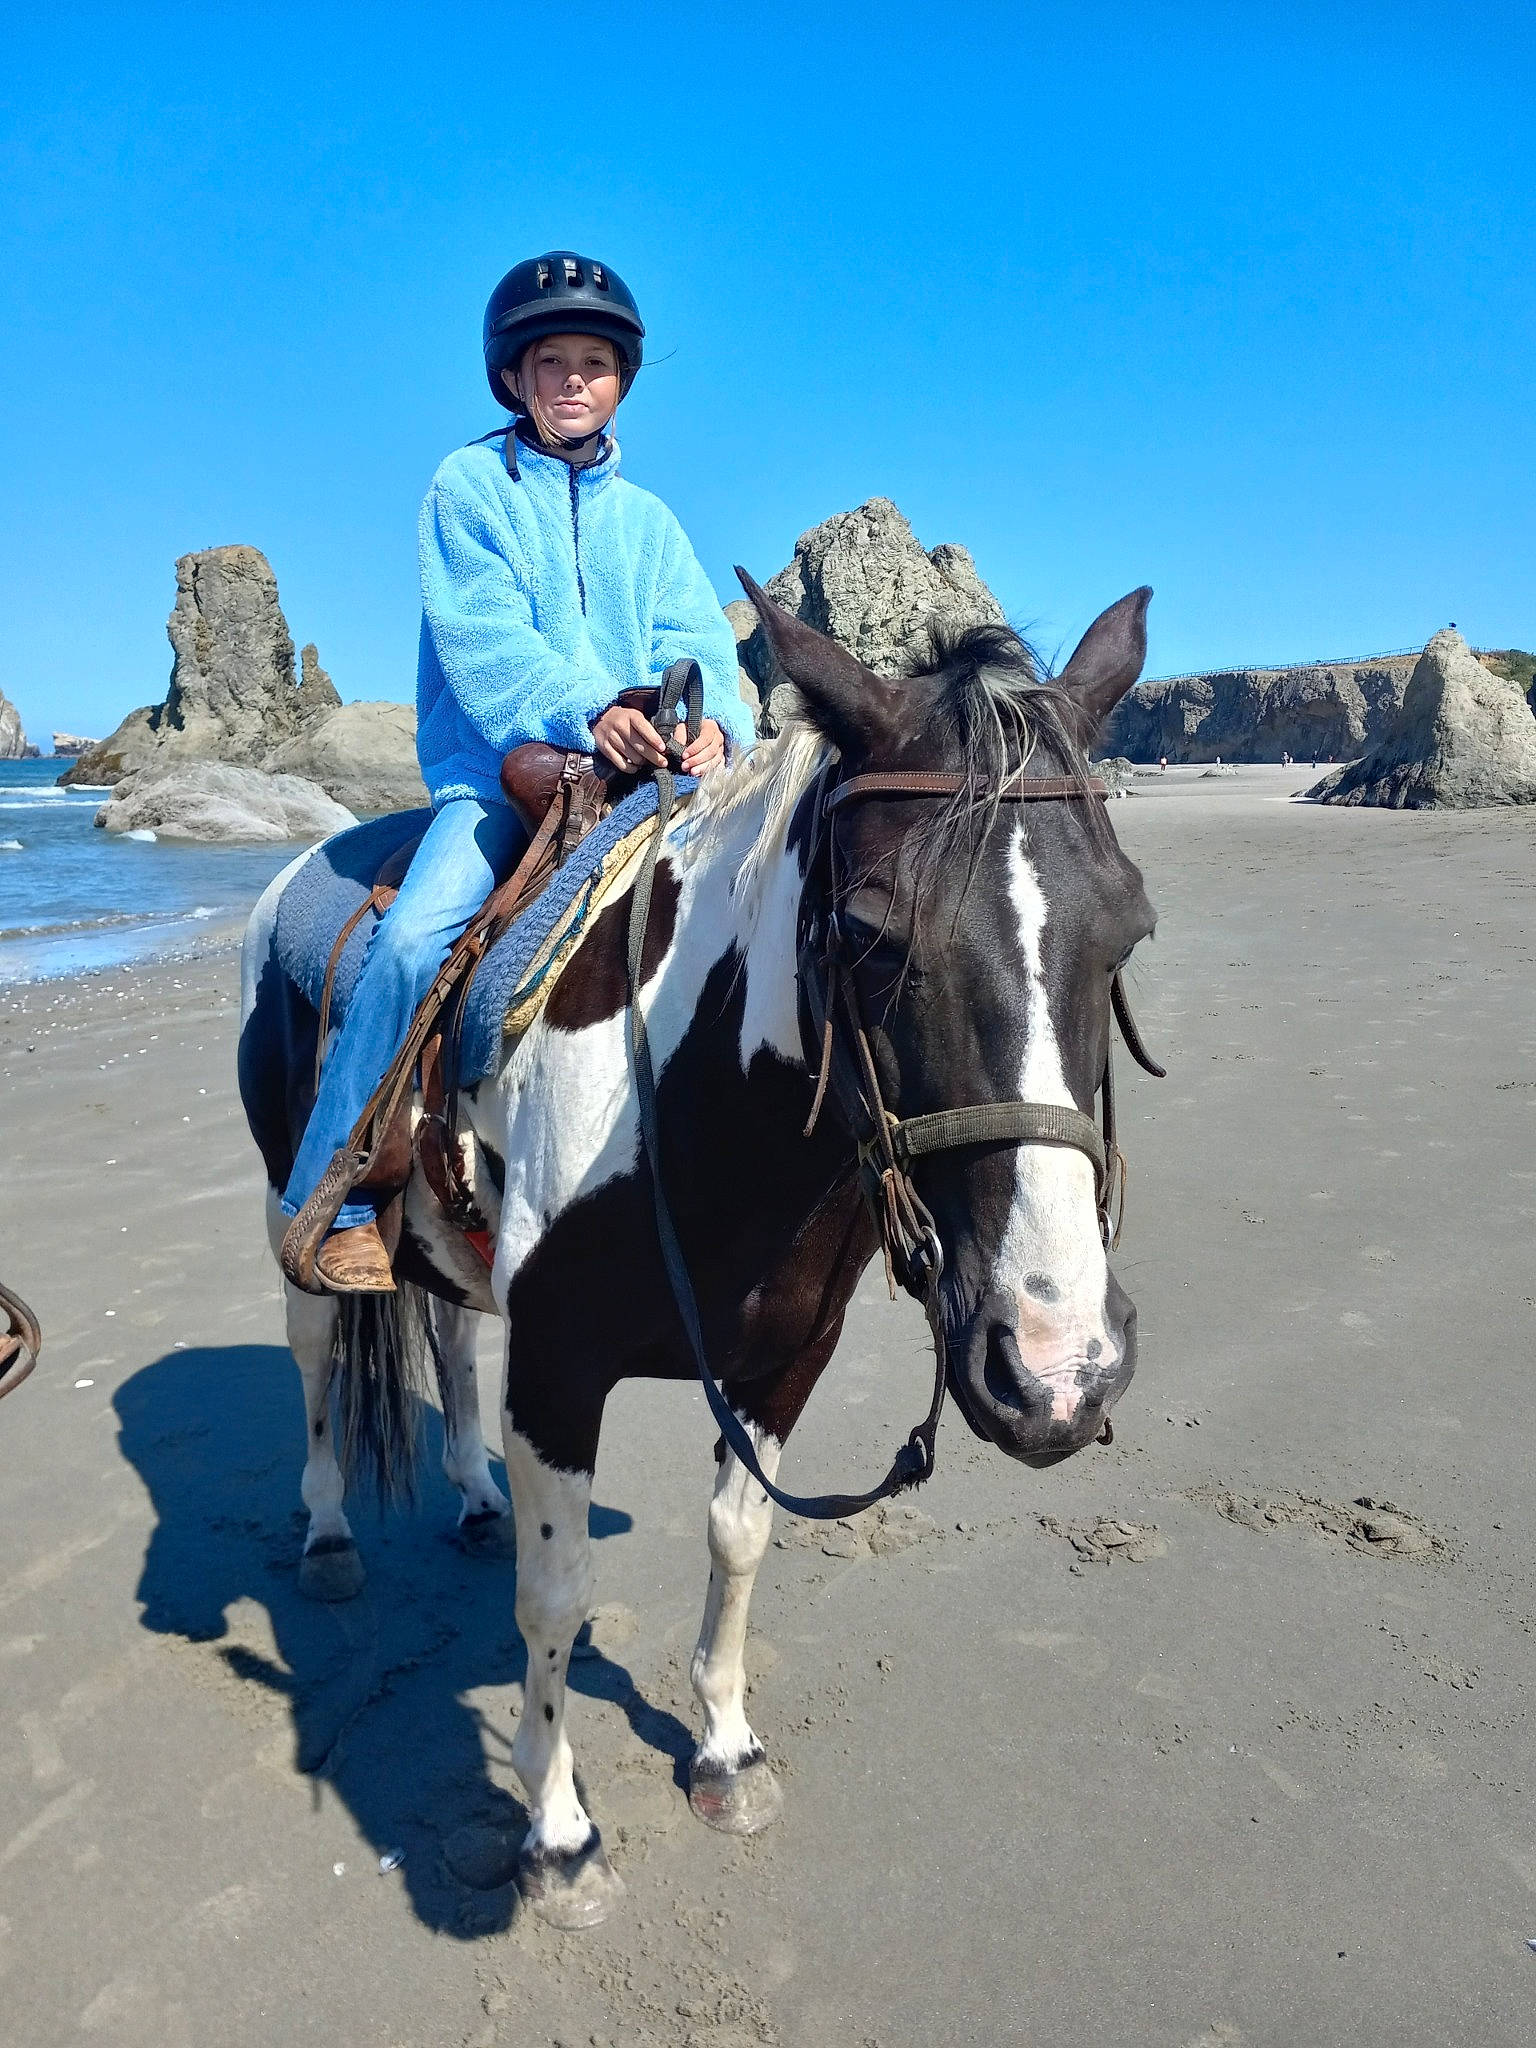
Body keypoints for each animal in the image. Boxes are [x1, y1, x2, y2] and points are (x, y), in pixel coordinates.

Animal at [237, 576, 1159, 1928]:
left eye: (1129, 931)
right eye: (872, 932)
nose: (1055, 1372)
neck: (688, 1096)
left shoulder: (784, 1358)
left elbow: (738, 1535)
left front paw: (725, 1749)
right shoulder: (559, 1370)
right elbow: (557, 1596)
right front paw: (559, 1830)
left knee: (451, 1335)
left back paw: (471, 1498)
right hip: (288, 1206)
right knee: (311, 1357)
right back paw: (326, 1536)